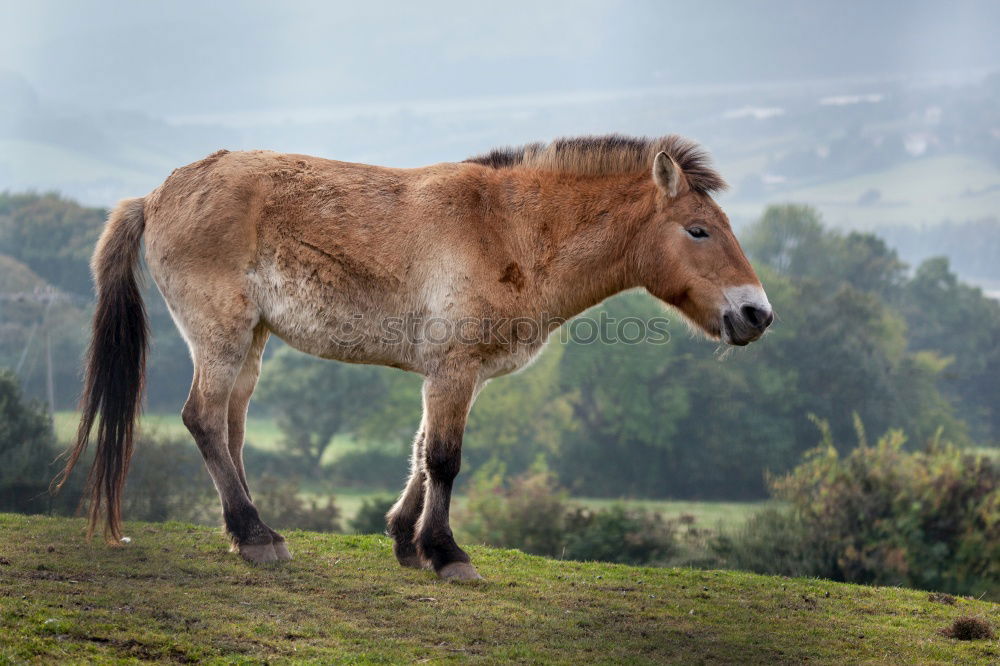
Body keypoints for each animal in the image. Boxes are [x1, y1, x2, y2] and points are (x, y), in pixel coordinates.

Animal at [54, 134, 772, 576]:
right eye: (698, 230)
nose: (756, 314)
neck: (509, 227)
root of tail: (156, 196)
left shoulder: (459, 374)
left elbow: (423, 452)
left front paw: (405, 537)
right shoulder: (453, 369)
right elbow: (445, 459)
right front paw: (446, 552)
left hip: (250, 343)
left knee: (229, 428)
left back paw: (249, 531)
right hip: (222, 336)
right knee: (203, 419)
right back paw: (255, 537)